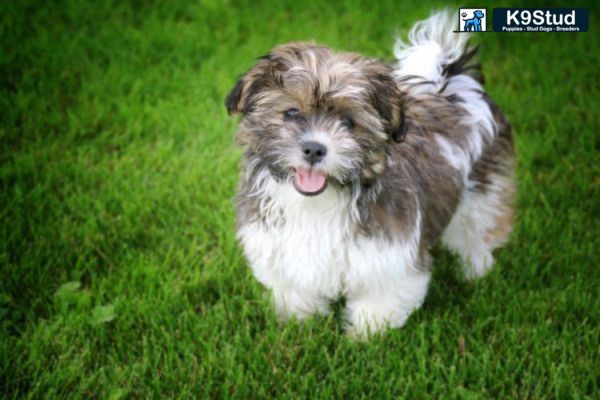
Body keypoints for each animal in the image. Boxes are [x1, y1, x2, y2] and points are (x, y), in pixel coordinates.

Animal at [225, 12, 516, 336]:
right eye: (291, 113)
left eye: (348, 123)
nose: (314, 149)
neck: (320, 202)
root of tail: (455, 82)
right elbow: (297, 293)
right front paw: (302, 324)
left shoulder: (388, 258)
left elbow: (379, 302)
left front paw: (366, 337)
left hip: (482, 191)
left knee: (477, 229)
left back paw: (474, 270)